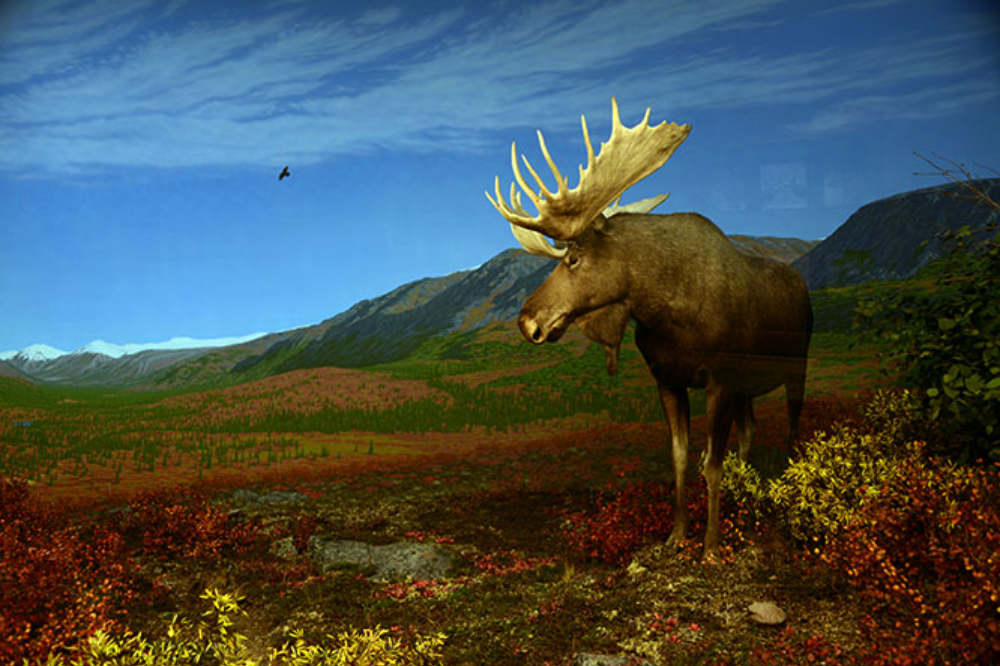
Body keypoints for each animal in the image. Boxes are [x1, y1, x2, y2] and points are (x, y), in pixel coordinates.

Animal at [485, 98, 812, 560]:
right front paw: (676, 535)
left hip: (796, 367)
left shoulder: (720, 380)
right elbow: (679, 458)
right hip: (748, 387)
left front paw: (711, 546)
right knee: (750, 433)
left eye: (573, 258)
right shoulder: (668, 381)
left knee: (792, 429)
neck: (666, 306)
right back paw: (741, 499)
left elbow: (712, 463)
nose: (526, 321)